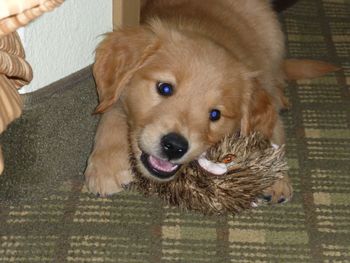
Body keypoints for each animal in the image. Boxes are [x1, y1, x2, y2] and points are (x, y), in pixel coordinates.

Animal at [85, 0, 292, 202]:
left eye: (215, 114)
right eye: (165, 88)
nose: (174, 147)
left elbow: (272, 129)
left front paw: (275, 177)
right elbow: (112, 110)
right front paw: (105, 165)